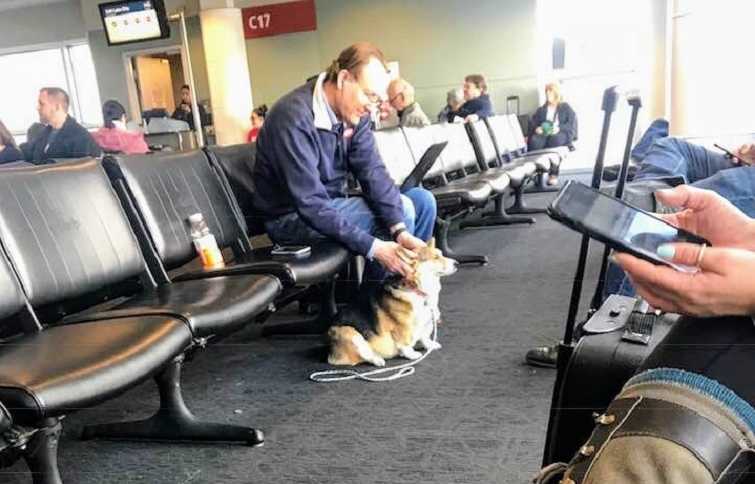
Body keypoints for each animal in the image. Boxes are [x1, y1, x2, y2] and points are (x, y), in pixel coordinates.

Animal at [328, 240, 458, 368]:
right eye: (436, 257)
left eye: (441, 254)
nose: (456, 263)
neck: (416, 289)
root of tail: (329, 352)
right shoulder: (402, 328)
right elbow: (404, 344)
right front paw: (412, 354)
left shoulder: (424, 323)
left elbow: (424, 337)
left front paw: (431, 345)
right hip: (349, 333)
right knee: (363, 356)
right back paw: (378, 359)